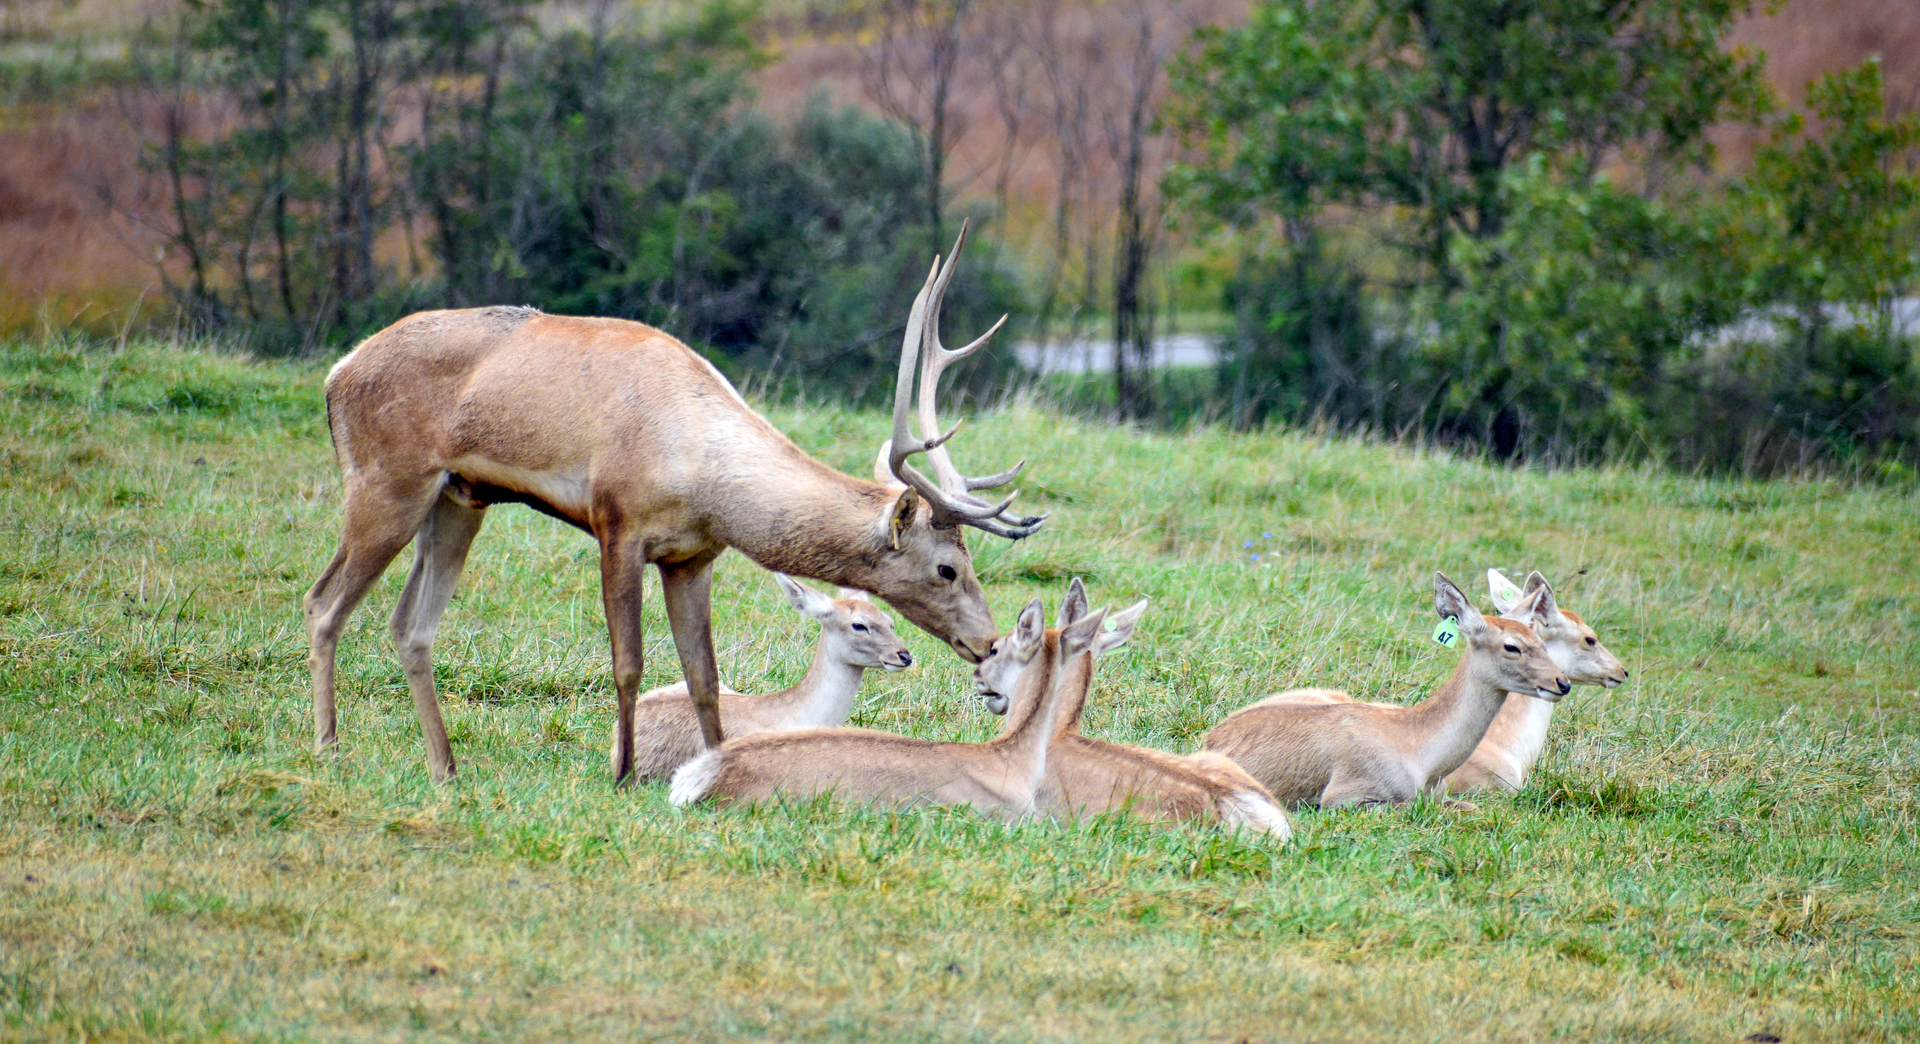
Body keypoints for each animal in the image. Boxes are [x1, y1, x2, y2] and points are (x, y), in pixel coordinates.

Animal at [1202, 573, 1571, 810]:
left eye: (1541, 640)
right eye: (1511, 646)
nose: (1561, 683)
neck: (1422, 757)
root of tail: (1209, 738)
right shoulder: (1345, 796)